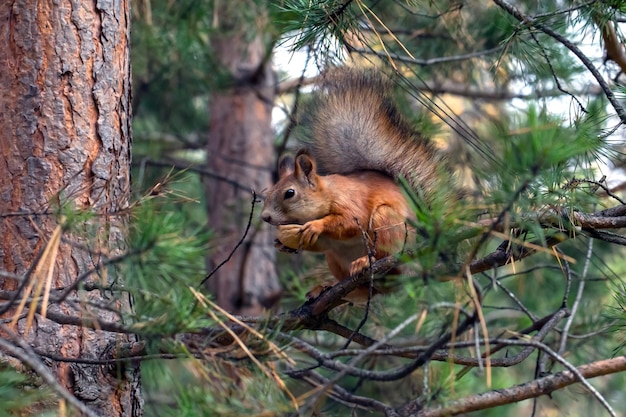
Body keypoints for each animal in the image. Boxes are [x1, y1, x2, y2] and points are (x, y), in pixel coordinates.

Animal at [260, 67, 454, 296]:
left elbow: (350, 221)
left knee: (385, 258)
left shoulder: (350, 202)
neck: (326, 195)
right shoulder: (326, 244)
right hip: (334, 260)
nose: (265, 217)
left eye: (289, 193)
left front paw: (316, 226)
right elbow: (322, 244)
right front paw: (282, 244)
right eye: (268, 193)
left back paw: (365, 262)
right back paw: (327, 287)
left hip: (387, 224)